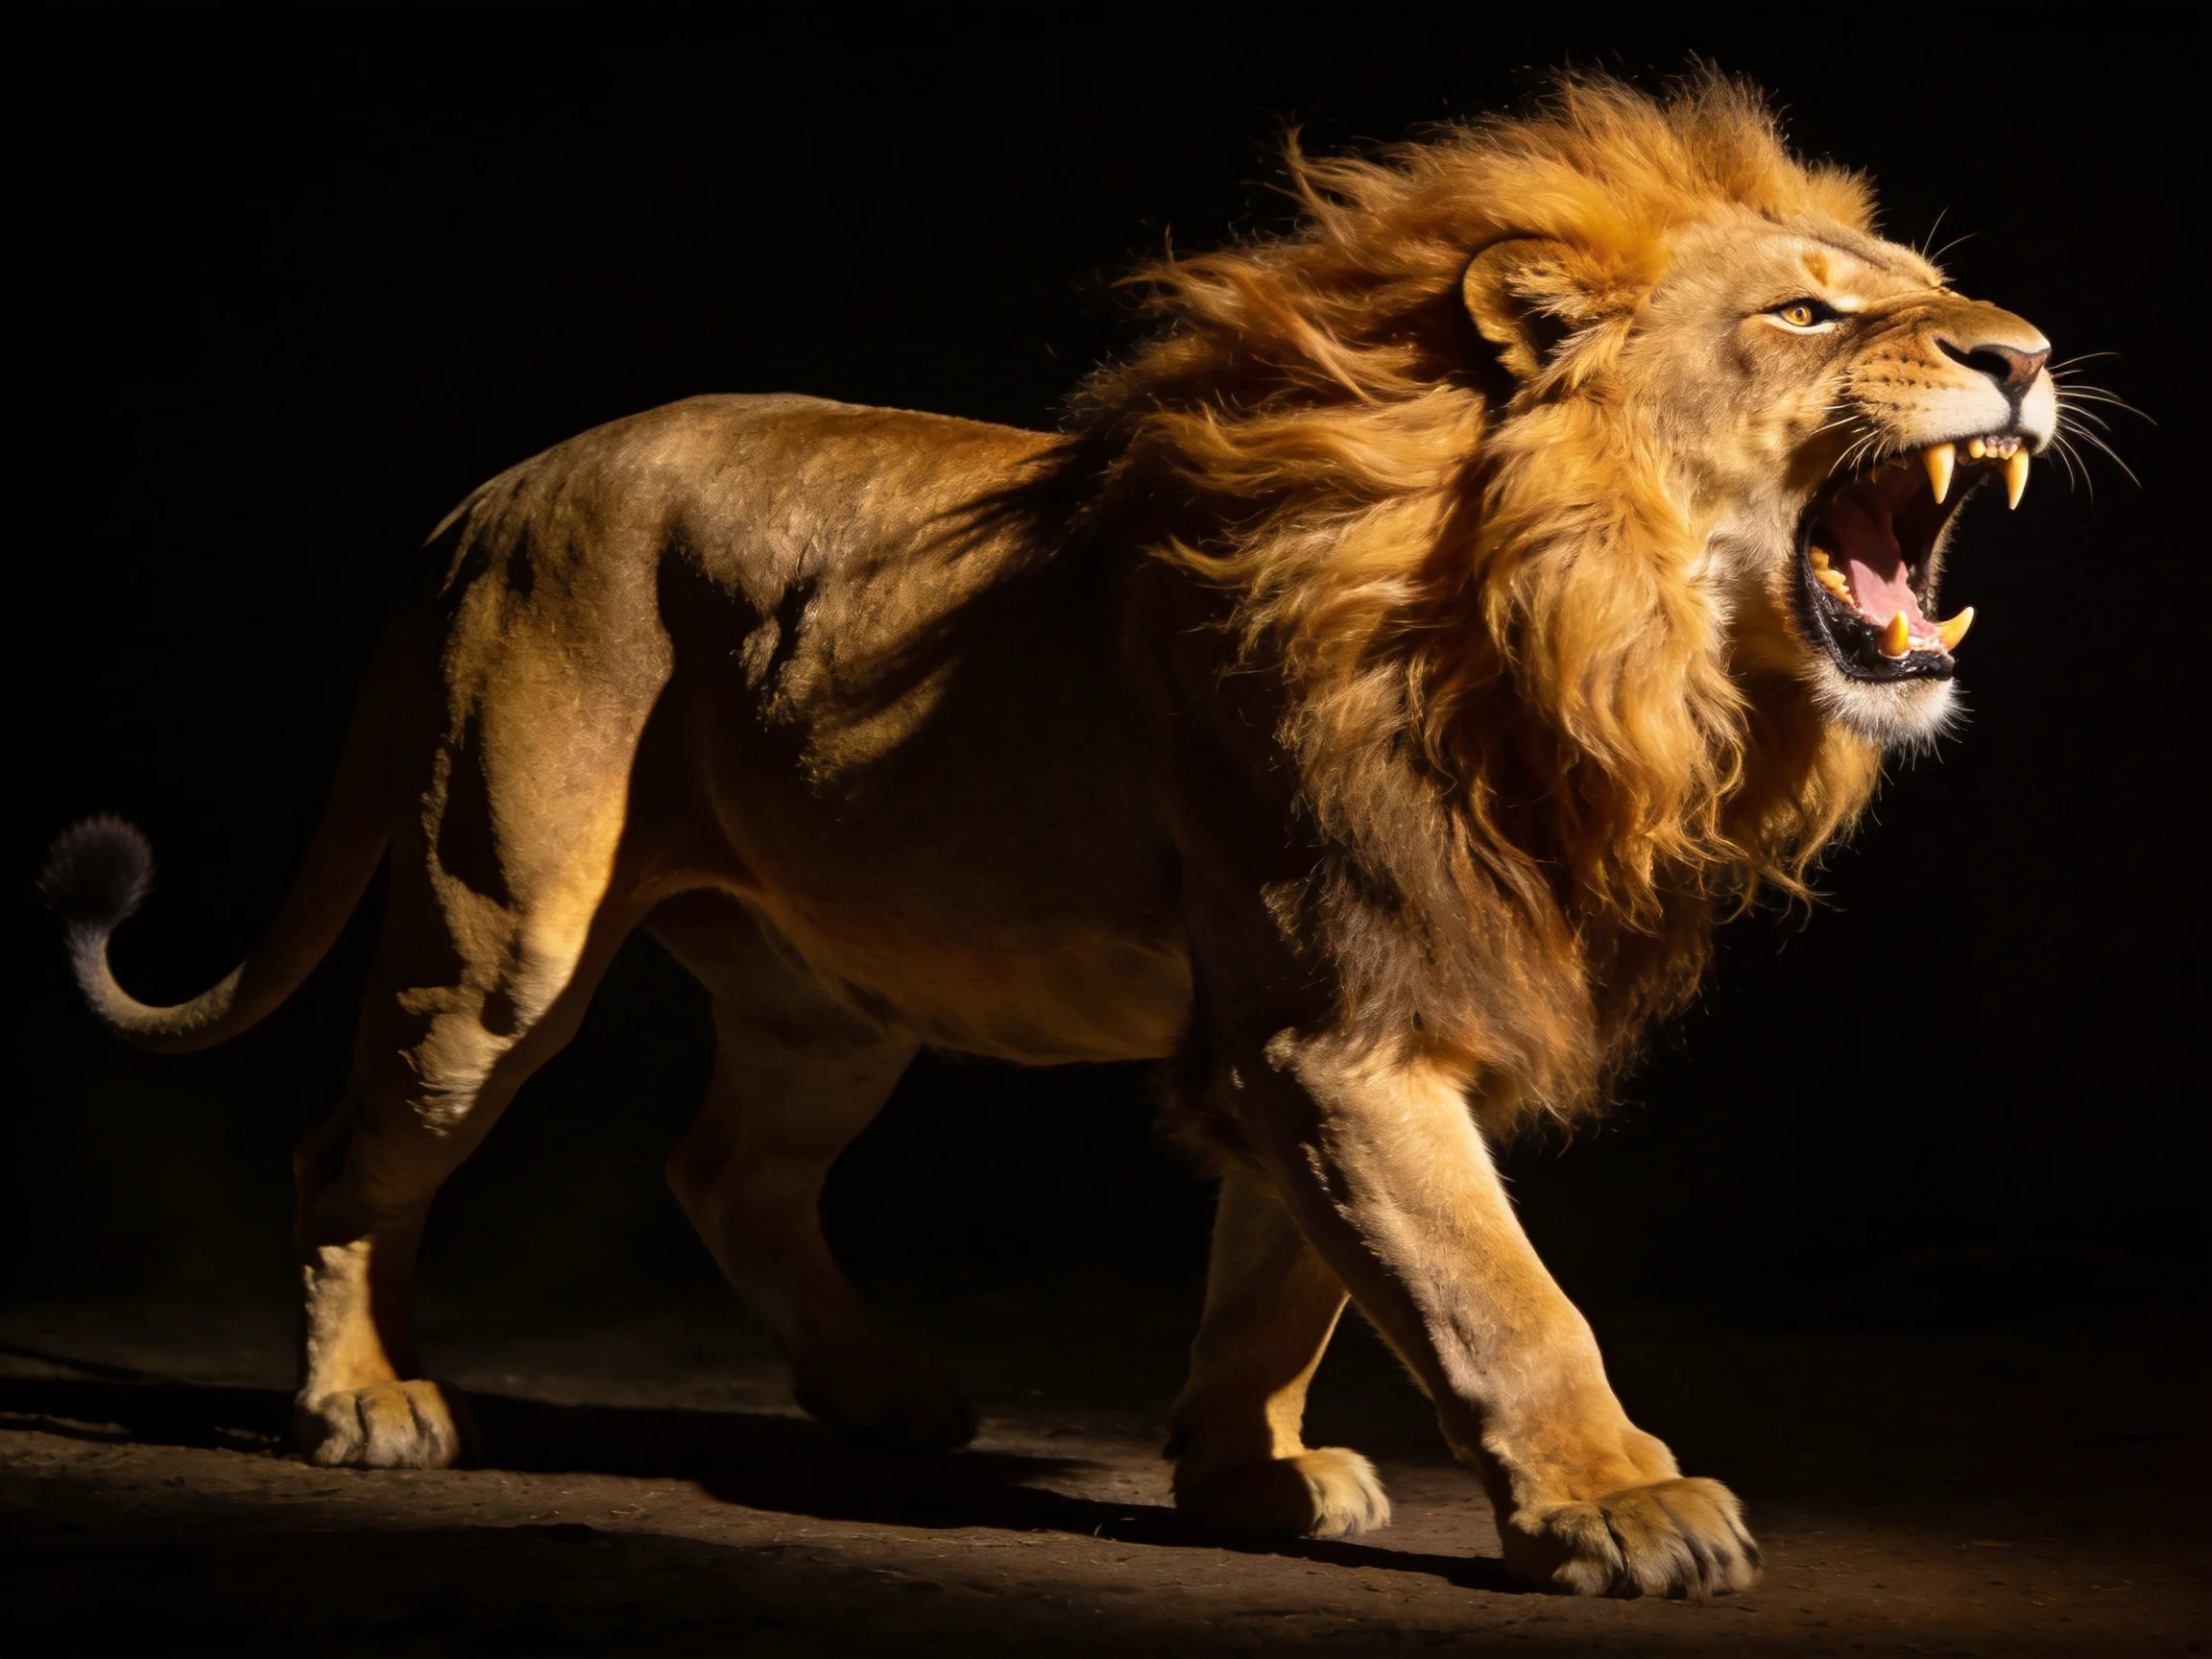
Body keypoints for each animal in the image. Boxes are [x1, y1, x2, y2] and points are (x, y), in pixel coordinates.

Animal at [42, 74, 2061, 1597]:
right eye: (1806, 312)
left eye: (1923, 287)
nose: (2028, 353)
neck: (1581, 633)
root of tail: (479, 501)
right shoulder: (1338, 1028)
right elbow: (1493, 1291)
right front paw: (1618, 1506)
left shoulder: (1342, 1026)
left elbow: (1292, 1284)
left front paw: (1246, 1476)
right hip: (496, 935)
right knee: (344, 1157)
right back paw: (367, 1403)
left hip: (827, 997)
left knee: (727, 1166)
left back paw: (881, 1395)